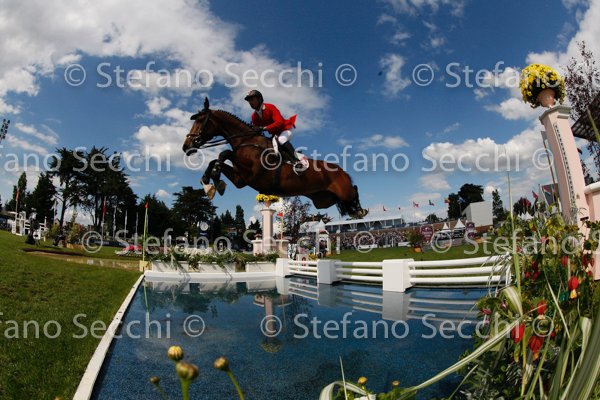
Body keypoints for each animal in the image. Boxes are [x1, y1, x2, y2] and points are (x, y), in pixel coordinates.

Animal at [182, 98, 367, 218]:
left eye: (200, 121)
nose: (186, 146)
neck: (245, 141)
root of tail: (341, 170)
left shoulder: (253, 173)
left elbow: (224, 154)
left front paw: (214, 179)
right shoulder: (241, 180)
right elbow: (216, 160)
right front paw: (210, 184)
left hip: (343, 191)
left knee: (354, 190)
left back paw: (360, 210)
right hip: (323, 200)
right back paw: (356, 210)